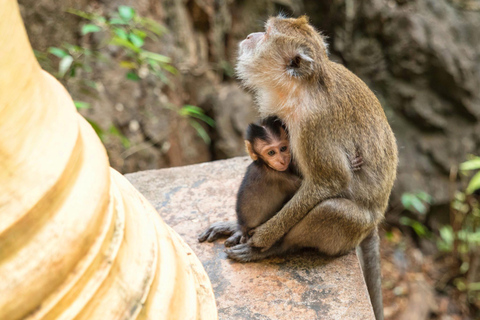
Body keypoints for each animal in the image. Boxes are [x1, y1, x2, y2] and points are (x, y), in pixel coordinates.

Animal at [223, 117, 362, 248]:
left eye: (283, 148)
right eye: (271, 152)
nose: (282, 160)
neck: (264, 164)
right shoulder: (278, 177)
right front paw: (351, 164)